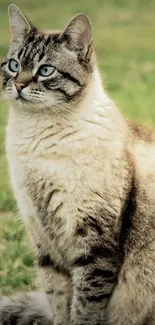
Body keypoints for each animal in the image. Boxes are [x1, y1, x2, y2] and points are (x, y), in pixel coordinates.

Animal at [0, 3, 155, 324]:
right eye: (13, 65)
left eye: (46, 70)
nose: (19, 84)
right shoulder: (44, 242)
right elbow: (60, 304)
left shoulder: (93, 243)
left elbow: (85, 307)